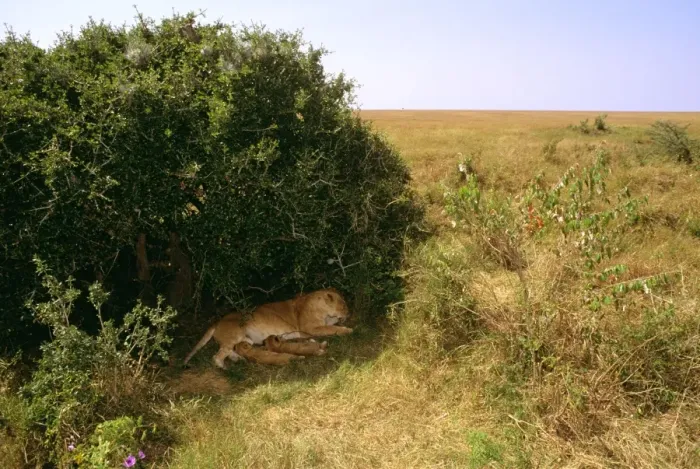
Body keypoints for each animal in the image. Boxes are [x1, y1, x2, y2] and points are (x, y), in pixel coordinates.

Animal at [183, 288, 352, 369]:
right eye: (344, 305)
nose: (348, 313)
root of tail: (217, 322)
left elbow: (331, 326)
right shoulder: (309, 329)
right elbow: (332, 329)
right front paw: (348, 329)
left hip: (246, 340)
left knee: (229, 351)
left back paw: (239, 359)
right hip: (235, 335)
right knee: (217, 356)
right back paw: (224, 368)